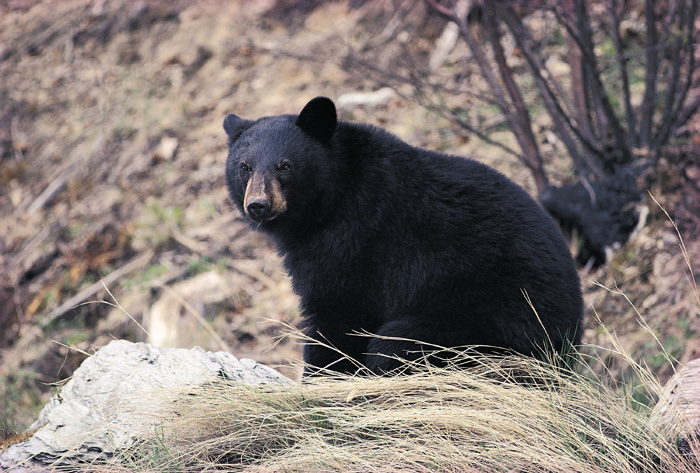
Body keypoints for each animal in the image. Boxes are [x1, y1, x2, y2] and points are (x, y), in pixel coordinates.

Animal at [223, 97, 580, 376]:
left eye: (285, 166)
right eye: (244, 166)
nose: (258, 205)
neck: (333, 197)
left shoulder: (353, 242)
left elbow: (338, 315)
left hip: (482, 324)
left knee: (397, 343)